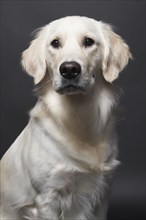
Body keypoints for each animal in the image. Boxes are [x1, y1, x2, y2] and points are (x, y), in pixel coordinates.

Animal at [0, 16, 131, 219]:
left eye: (88, 41)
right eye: (55, 43)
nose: (69, 69)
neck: (78, 116)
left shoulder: (103, 194)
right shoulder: (47, 198)